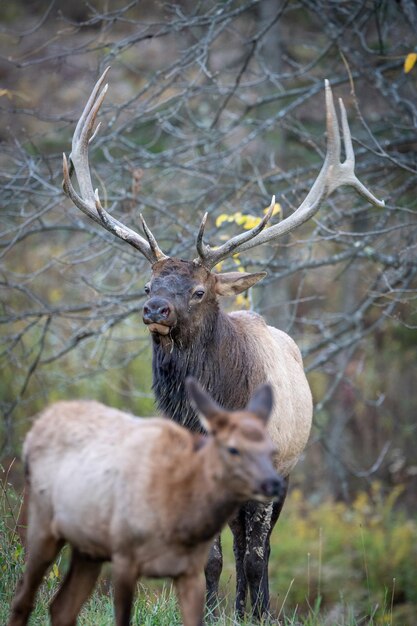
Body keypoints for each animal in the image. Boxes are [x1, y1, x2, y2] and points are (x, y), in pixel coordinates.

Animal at [7, 376, 282, 624]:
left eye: (272, 450)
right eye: (233, 449)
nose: (275, 483)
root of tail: (38, 424)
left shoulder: (190, 572)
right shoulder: (124, 559)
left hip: (88, 548)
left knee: (61, 608)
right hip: (42, 528)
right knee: (22, 596)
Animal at [61, 69, 384, 620]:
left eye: (198, 290)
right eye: (146, 286)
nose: (155, 310)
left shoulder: (270, 468)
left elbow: (255, 557)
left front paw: (255, 616)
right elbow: (209, 557)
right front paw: (208, 613)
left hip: (287, 472)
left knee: (261, 548)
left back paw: (257, 608)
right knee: (234, 542)